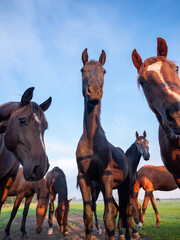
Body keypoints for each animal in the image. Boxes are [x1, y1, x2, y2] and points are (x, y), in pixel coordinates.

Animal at [76, 48, 136, 240]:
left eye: (104, 71)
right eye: (83, 70)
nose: (94, 91)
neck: (91, 143)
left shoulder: (106, 177)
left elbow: (108, 218)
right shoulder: (85, 179)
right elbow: (88, 216)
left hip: (124, 186)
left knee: (126, 210)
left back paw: (129, 235)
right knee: (119, 210)